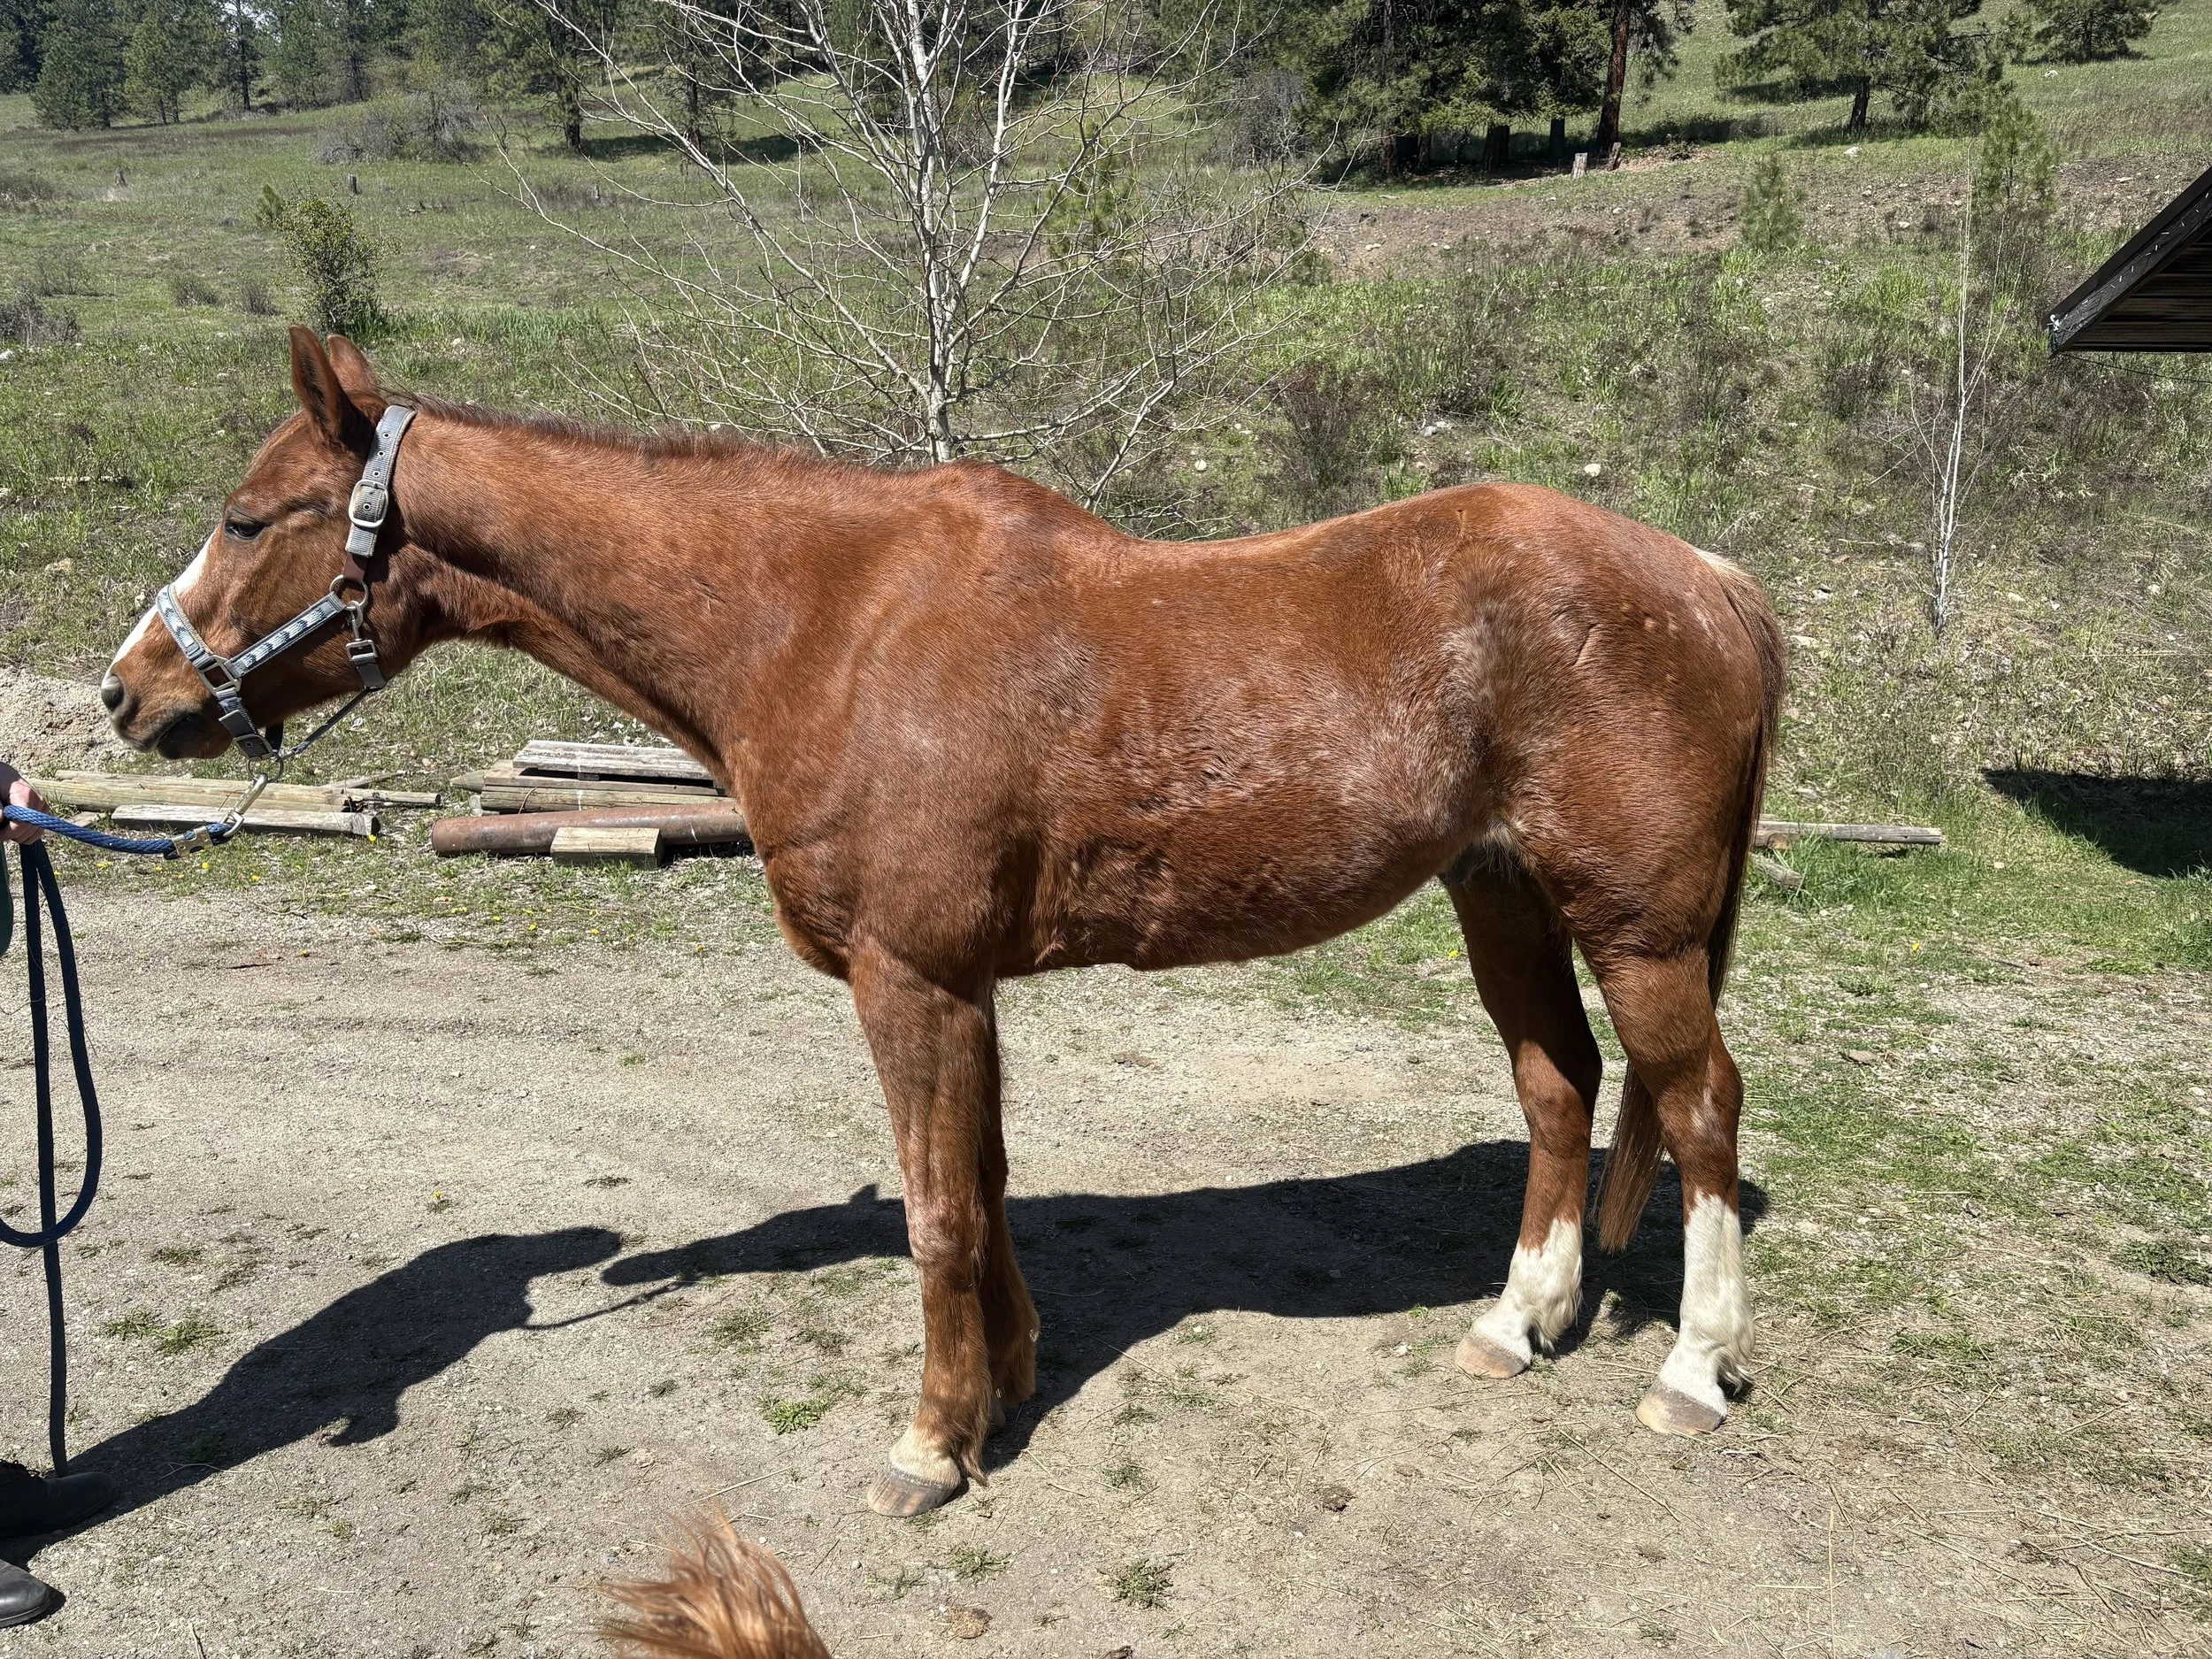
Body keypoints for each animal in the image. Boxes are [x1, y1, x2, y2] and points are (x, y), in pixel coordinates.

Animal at [104, 328, 1785, 1517]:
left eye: (248, 519)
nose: (130, 692)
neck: (826, 619)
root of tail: (1709, 579)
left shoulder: (908, 981)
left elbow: (935, 1212)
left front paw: (926, 1447)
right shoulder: (958, 985)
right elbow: (982, 1186)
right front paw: (1005, 1393)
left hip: (1638, 930)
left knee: (1699, 1105)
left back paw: (1692, 1371)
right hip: (1500, 893)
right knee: (1561, 1087)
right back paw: (1518, 1324)